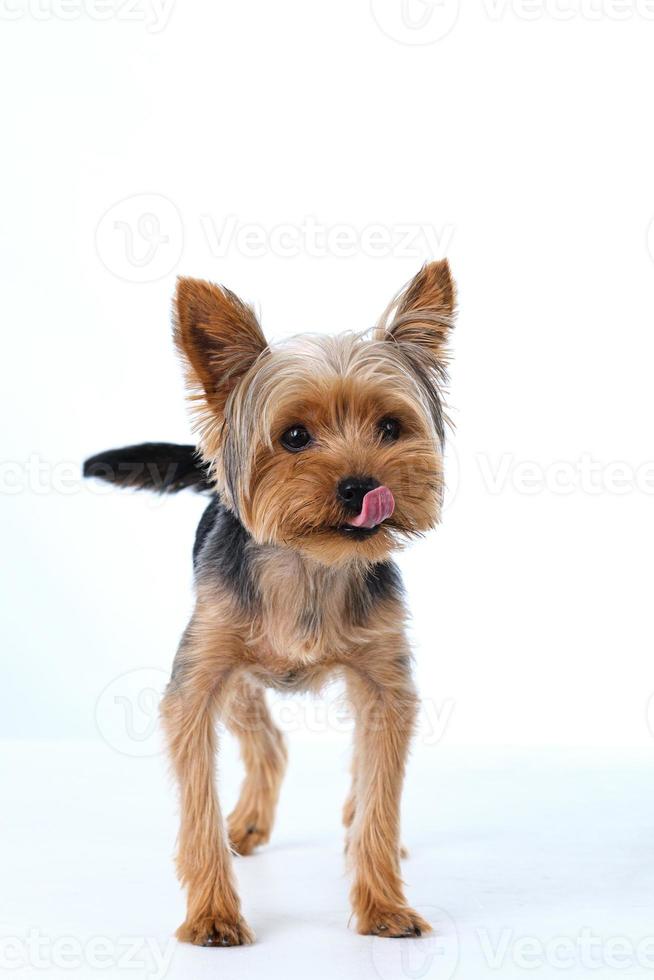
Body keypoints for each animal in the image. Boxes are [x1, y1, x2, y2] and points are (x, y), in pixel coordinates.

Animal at [84, 258, 458, 940]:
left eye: (391, 427)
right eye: (294, 436)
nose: (362, 485)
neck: (310, 564)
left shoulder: (386, 685)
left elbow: (381, 788)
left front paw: (383, 905)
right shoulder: (198, 679)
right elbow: (197, 804)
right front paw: (211, 914)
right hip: (233, 665)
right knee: (267, 740)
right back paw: (249, 823)